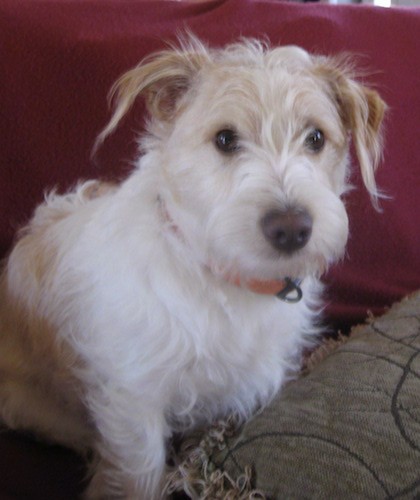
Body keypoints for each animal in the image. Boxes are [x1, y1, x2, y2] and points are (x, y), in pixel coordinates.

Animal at [0, 37, 386, 498]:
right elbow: (138, 473)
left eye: (315, 137)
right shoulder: (133, 400)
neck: (223, 277)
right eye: (225, 138)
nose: (292, 228)